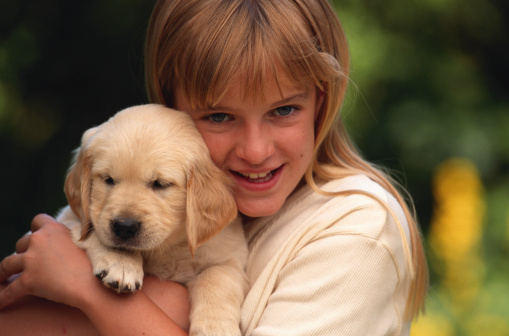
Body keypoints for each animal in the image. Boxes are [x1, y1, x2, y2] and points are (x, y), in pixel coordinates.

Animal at [56, 103, 249, 334]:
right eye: (108, 180)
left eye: (160, 184)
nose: (124, 227)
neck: (168, 247)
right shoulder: (69, 217)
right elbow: (97, 233)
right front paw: (121, 261)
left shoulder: (231, 259)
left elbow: (215, 276)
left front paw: (215, 328)